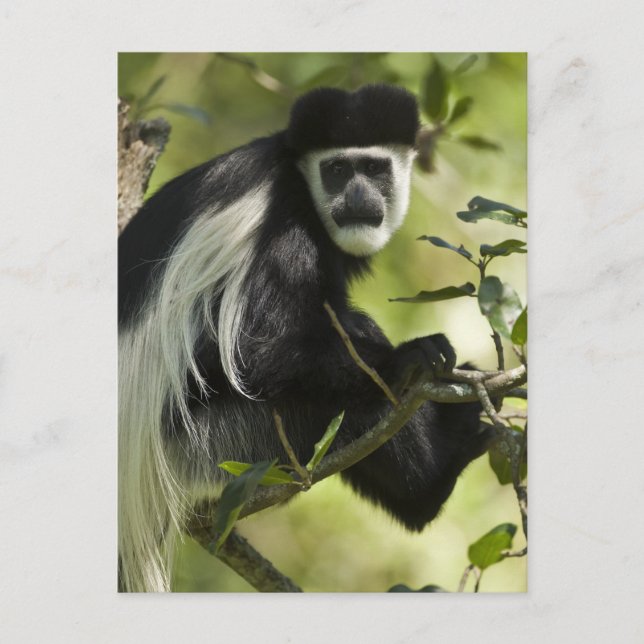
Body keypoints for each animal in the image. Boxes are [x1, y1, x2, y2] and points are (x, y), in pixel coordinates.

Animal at [118, 84, 490, 592]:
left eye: (374, 168)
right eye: (336, 170)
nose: (358, 197)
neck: (297, 180)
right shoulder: (280, 224)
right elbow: (255, 351)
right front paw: (409, 357)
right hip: (219, 445)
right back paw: (430, 484)